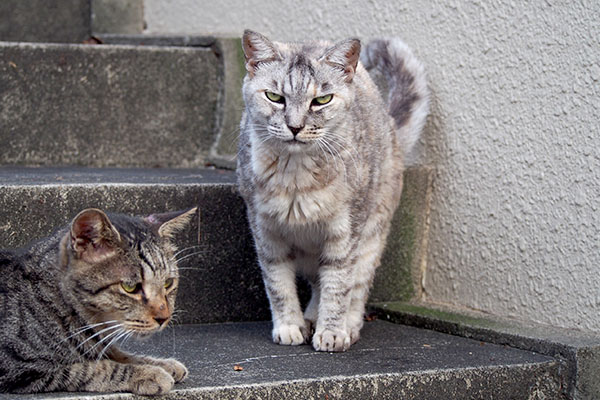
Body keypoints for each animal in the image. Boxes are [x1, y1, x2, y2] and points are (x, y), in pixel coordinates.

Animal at [0, 208, 196, 396]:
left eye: (168, 283)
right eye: (130, 287)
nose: (164, 318)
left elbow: (117, 354)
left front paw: (162, 364)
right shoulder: (19, 367)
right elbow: (94, 368)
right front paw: (148, 373)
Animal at [237, 29, 428, 352]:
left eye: (321, 100)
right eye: (275, 97)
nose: (295, 127)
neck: (296, 177)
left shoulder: (345, 232)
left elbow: (338, 286)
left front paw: (332, 333)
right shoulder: (265, 230)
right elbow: (278, 284)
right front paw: (289, 326)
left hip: (371, 237)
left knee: (355, 287)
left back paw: (345, 327)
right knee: (316, 283)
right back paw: (309, 319)